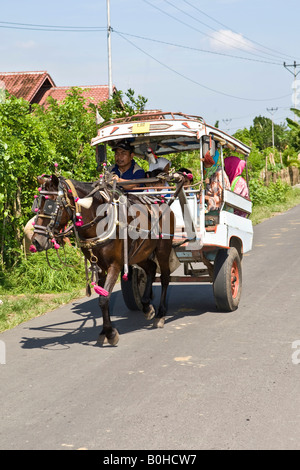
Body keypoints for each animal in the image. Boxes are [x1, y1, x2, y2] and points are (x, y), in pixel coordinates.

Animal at [29, 173, 176, 346]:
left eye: (50, 205)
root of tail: (161, 200)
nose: (36, 241)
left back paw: (161, 313)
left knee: (165, 277)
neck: (99, 220)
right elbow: (102, 299)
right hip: (138, 253)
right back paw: (146, 305)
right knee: (151, 268)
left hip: (163, 248)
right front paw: (105, 331)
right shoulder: (99, 266)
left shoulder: (115, 265)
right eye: (37, 205)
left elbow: (103, 299)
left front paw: (111, 334)